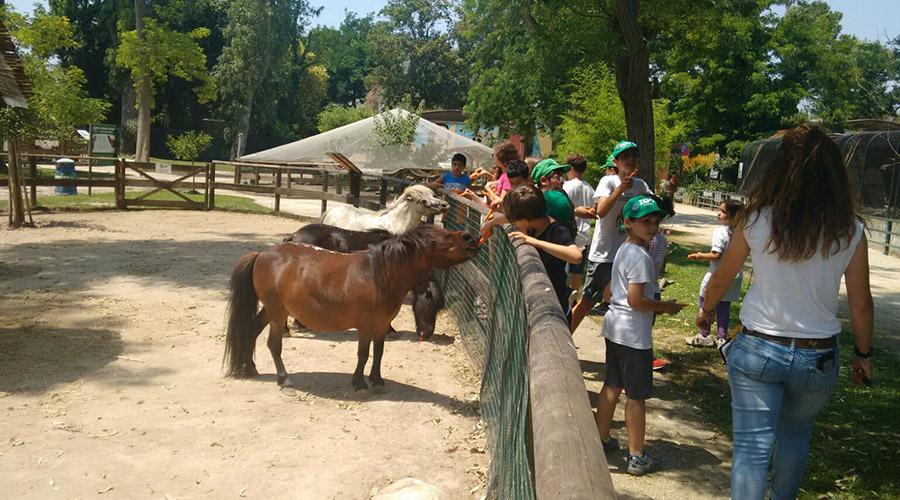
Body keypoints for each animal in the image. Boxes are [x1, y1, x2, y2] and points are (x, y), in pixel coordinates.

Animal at [223, 226, 478, 390]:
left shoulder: (381, 326)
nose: (469, 238)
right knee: (273, 344)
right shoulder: (365, 326)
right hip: (278, 314)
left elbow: (379, 352)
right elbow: (363, 354)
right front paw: (358, 382)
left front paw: (376, 379)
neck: (377, 274)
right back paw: (284, 378)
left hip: (270, 310)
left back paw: (249, 368)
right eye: (433, 240)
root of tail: (262, 254)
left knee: (250, 331)